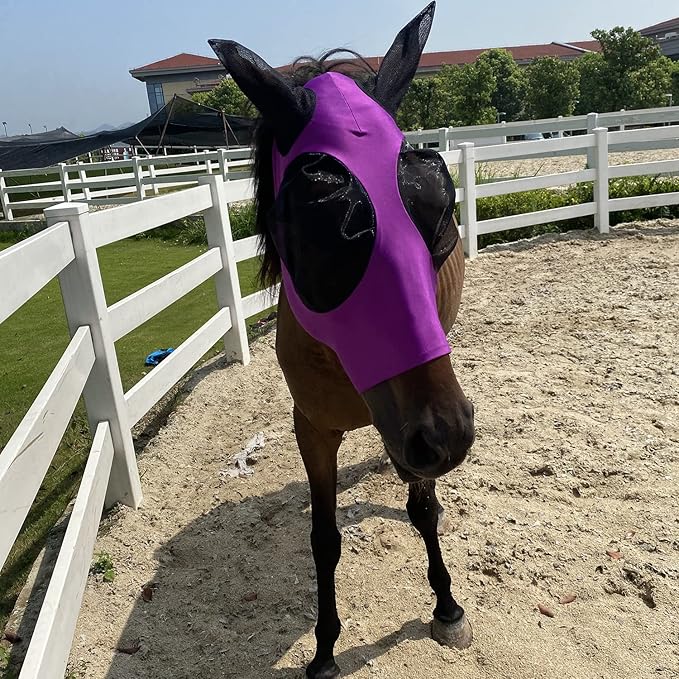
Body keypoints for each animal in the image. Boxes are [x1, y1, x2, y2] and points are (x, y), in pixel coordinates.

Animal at [209, 3, 475, 677]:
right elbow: (323, 537)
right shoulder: (312, 429)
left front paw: (446, 605)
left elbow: (423, 509)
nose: (448, 436)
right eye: (318, 225)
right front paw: (325, 647)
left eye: (436, 207)